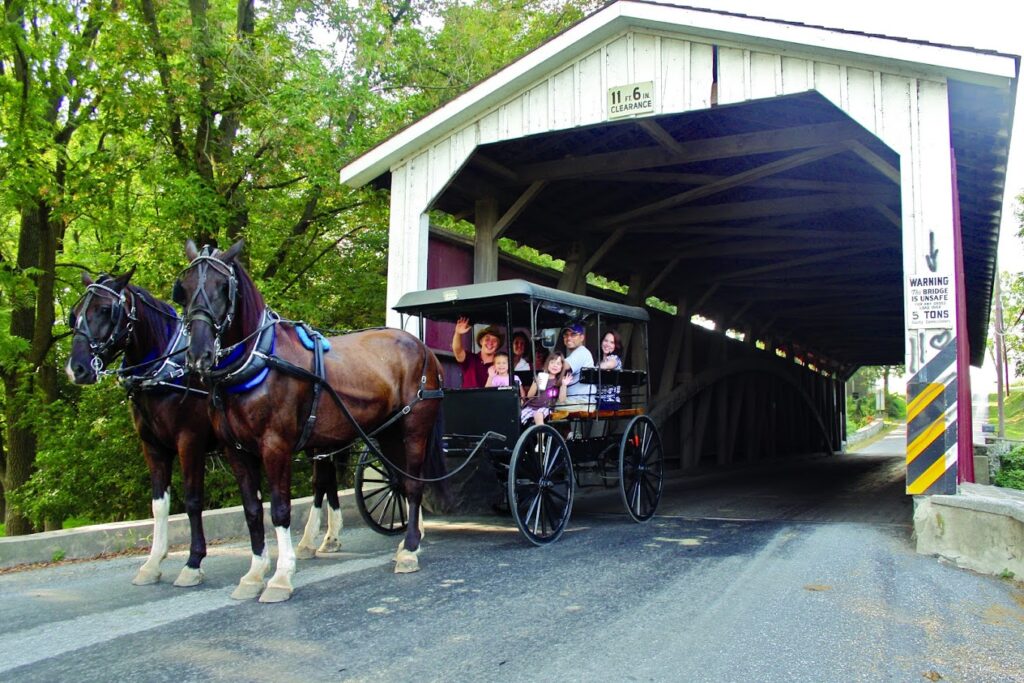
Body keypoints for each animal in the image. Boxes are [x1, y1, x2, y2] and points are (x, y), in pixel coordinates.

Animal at [175, 241, 444, 602]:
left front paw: (281, 577)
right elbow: (253, 510)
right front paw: (254, 574)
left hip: (414, 427)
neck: (258, 361)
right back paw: (409, 540)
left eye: (222, 287)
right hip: (389, 431)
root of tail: (423, 348)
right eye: (185, 287)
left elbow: (279, 509)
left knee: (414, 484)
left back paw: (410, 550)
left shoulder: (276, 446)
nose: (198, 355)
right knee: (400, 480)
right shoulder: (237, 450)